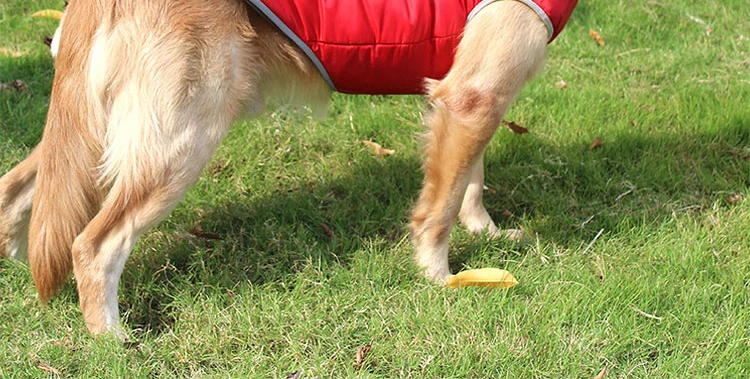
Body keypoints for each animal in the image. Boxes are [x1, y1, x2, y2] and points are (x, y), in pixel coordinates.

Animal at [0, 0, 576, 336]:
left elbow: (470, 179)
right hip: (181, 138)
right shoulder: (474, 94)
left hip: (101, 130)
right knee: (94, 245)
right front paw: (440, 278)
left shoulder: (476, 92)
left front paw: (486, 232)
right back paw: (113, 343)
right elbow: (439, 208)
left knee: (17, 188)